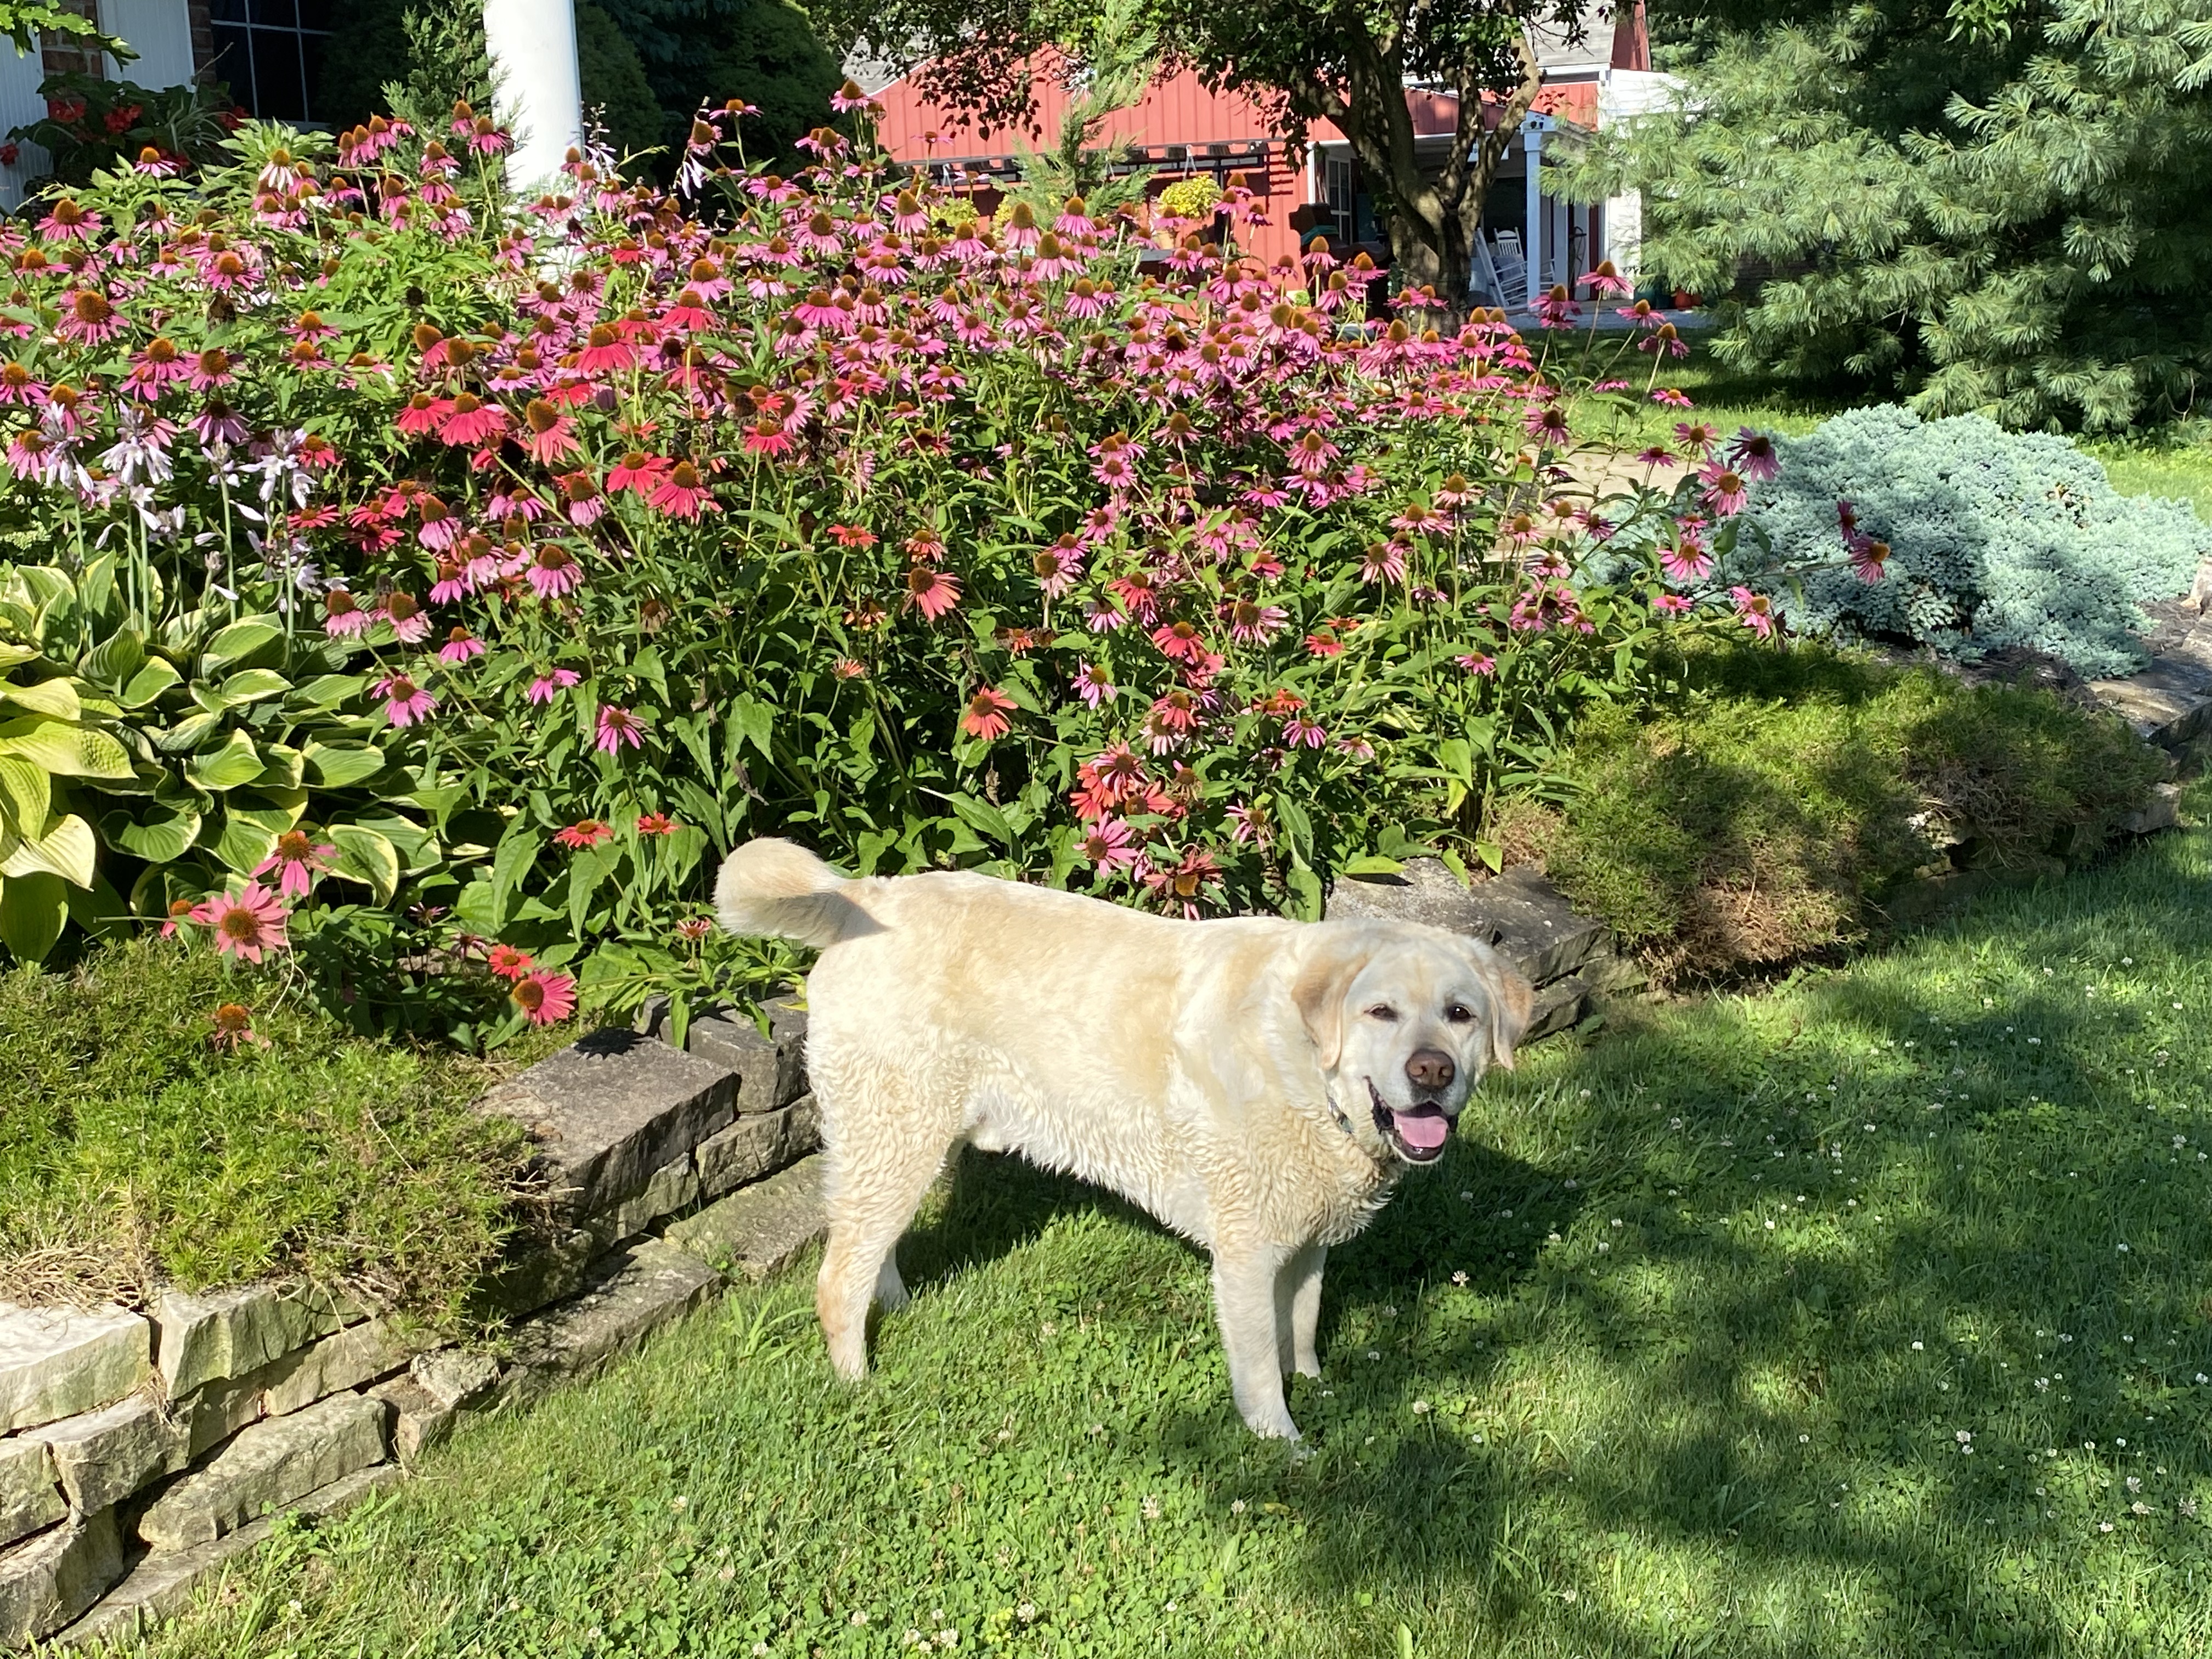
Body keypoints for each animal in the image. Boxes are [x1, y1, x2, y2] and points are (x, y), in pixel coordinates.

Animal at [716, 845, 1531, 1442]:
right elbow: (1260, 1368)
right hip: (895, 1131)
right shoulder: (1246, 1252)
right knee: (837, 1279)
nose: (1433, 1072)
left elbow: (1299, 1328)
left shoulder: (1304, 1239)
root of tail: (867, 895)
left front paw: (1319, 1388)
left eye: (1460, 1014)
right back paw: (858, 1384)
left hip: (912, 1138)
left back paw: (902, 1308)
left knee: (870, 1245)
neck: (1304, 1066)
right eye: (1380, 1011)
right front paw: (1285, 1448)